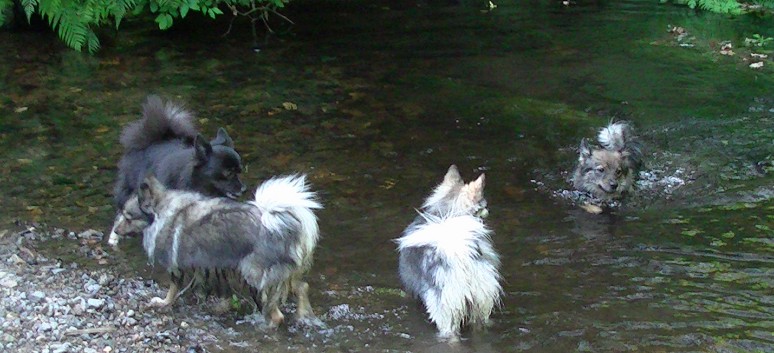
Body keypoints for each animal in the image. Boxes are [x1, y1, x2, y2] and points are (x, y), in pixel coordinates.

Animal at [109, 95, 246, 246]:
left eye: (240, 171)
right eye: (228, 173)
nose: (243, 189)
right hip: (130, 189)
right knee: (121, 209)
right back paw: (114, 236)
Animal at [112, 173, 322, 324]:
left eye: (128, 217)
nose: (115, 230)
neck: (161, 212)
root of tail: (280, 224)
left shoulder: (175, 267)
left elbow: (172, 289)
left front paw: (163, 303)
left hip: (254, 276)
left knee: (278, 314)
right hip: (279, 275)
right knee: (302, 287)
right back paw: (303, 314)